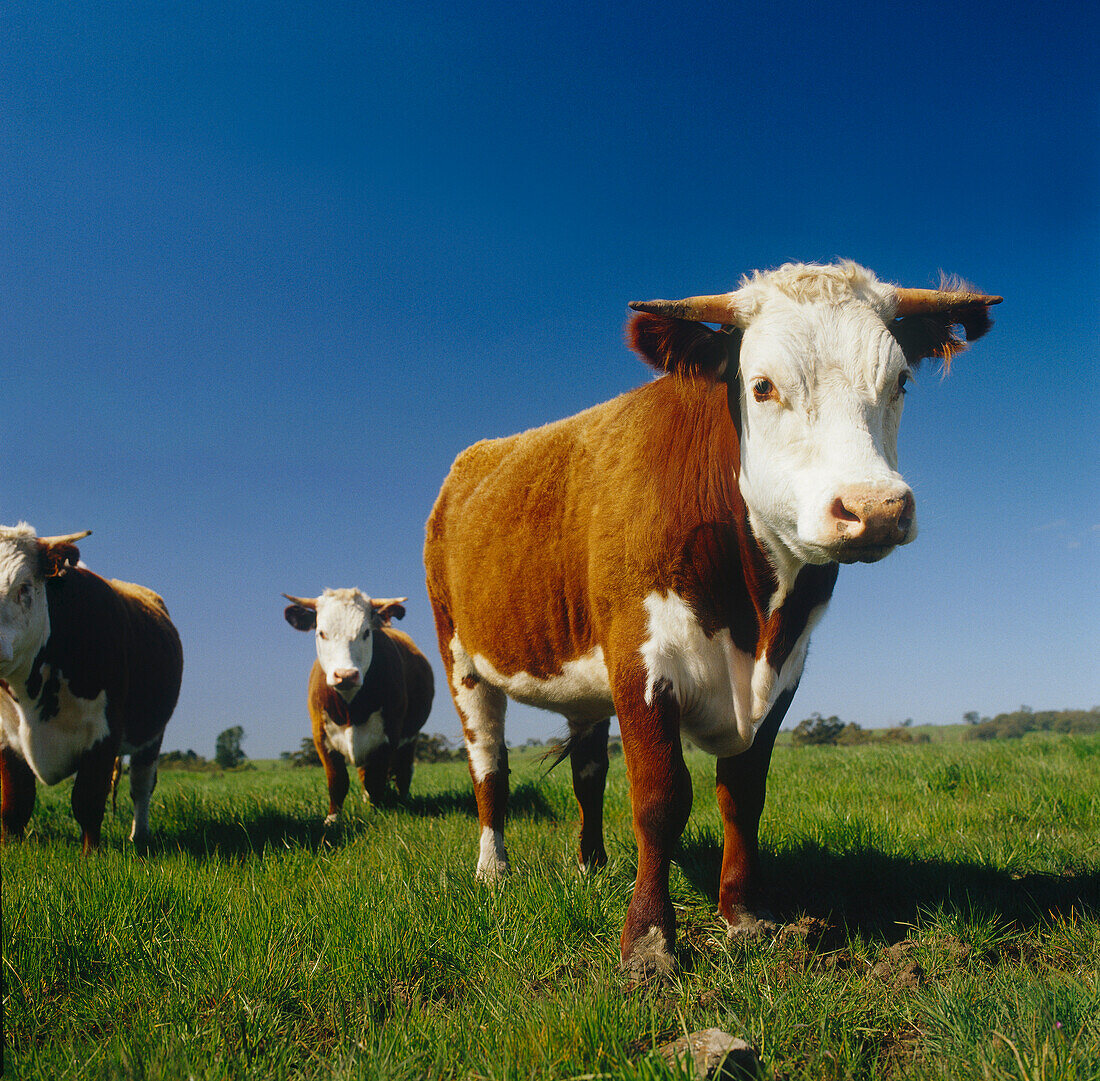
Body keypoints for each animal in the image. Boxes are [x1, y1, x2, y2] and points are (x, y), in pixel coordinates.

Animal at [0, 525, 182, 853]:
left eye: (24, 587)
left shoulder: (104, 732)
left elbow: (87, 800)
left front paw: (91, 855)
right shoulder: (6, 737)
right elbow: (15, 803)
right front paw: (10, 849)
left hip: (151, 736)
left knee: (141, 786)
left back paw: (139, 836)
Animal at [283, 593, 433, 818]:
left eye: (366, 632)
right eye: (321, 633)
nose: (345, 675)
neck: (350, 709)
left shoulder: (389, 736)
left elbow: (376, 779)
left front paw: (377, 812)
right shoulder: (321, 736)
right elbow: (337, 781)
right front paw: (332, 818)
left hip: (411, 736)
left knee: (404, 771)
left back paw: (402, 799)